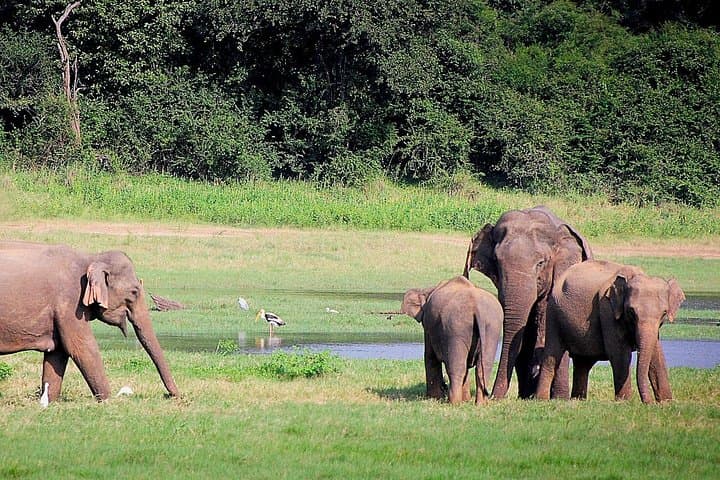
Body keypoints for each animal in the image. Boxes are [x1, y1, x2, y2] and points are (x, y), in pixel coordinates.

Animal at [0, 241, 179, 403]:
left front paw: (48, 402)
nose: (171, 395)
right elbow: (81, 347)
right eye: (134, 292)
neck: (92, 258)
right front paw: (108, 401)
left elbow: (59, 352)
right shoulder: (70, 303)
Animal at [401, 276, 502, 404]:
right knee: (483, 366)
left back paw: (454, 403)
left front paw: (434, 398)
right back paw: (480, 404)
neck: (429, 290)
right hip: (492, 327)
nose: (444, 386)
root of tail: (477, 307)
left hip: (456, 327)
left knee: (457, 366)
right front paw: (465, 400)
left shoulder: (428, 325)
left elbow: (430, 356)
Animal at [536, 260, 685, 403]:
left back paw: (578, 400)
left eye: (664, 313)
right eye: (631, 312)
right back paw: (542, 399)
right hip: (553, 314)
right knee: (552, 357)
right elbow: (619, 354)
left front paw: (666, 402)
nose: (648, 402)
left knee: (583, 363)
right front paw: (624, 402)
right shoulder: (607, 310)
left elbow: (657, 355)